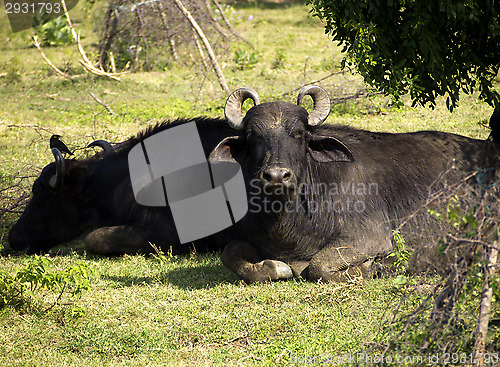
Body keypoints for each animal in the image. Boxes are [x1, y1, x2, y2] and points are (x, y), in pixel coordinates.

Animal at [209, 86, 498, 284]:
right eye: (253, 136)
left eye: (299, 134)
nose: (277, 176)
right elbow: (230, 253)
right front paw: (275, 266)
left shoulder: (370, 238)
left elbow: (319, 265)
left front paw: (370, 268)